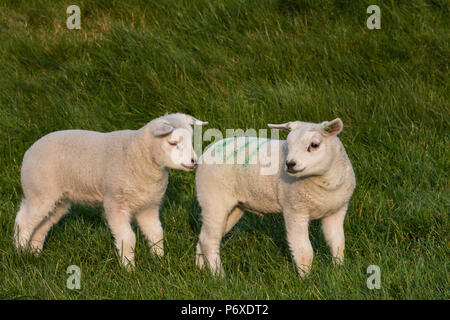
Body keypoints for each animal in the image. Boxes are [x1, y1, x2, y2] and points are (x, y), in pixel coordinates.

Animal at [14, 112, 207, 268]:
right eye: (173, 143)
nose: (194, 162)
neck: (138, 155)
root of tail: (30, 150)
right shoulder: (116, 203)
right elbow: (128, 238)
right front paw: (129, 268)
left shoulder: (147, 206)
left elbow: (156, 234)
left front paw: (159, 261)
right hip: (40, 191)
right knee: (23, 221)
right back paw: (20, 253)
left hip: (58, 200)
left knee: (41, 226)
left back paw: (35, 254)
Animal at [195, 119, 356, 276]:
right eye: (288, 144)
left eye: (314, 145)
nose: (290, 164)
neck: (327, 183)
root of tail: (208, 150)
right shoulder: (295, 211)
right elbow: (304, 251)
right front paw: (306, 279)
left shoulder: (337, 211)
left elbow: (338, 242)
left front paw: (339, 270)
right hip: (213, 200)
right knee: (209, 240)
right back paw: (219, 276)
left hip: (234, 207)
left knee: (203, 238)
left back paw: (201, 268)